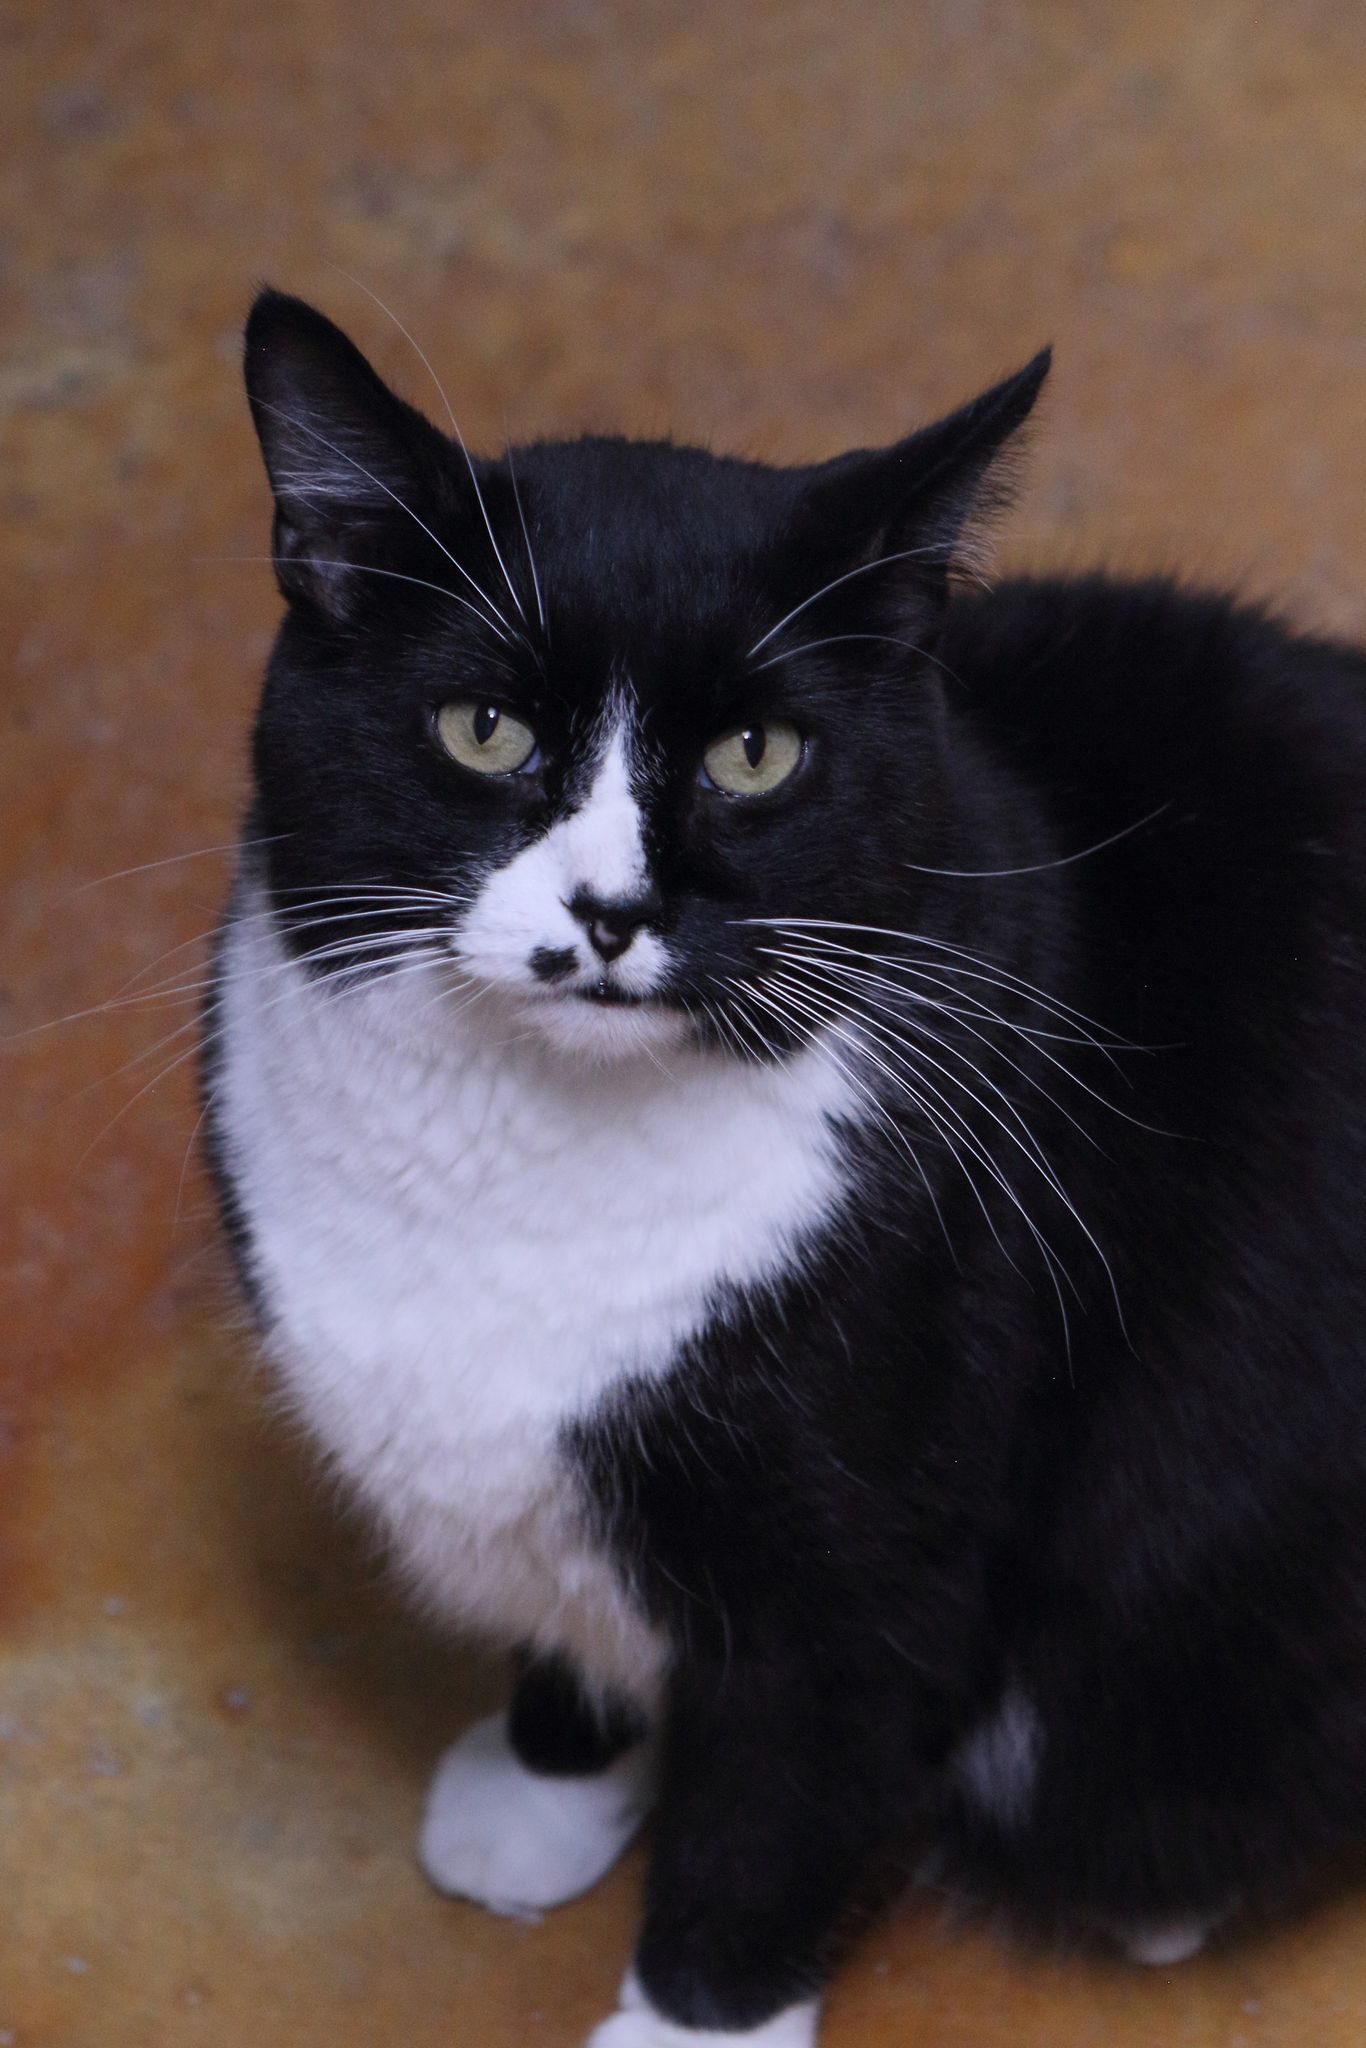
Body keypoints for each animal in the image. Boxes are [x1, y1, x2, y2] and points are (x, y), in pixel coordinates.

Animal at [202, 288, 1366, 2048]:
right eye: (484, 728)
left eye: (754, 754)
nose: (610, 911)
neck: (527, 1164)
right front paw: (545, 1785)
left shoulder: (878, 1541)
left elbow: (775, 1803)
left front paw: (683, 2017)